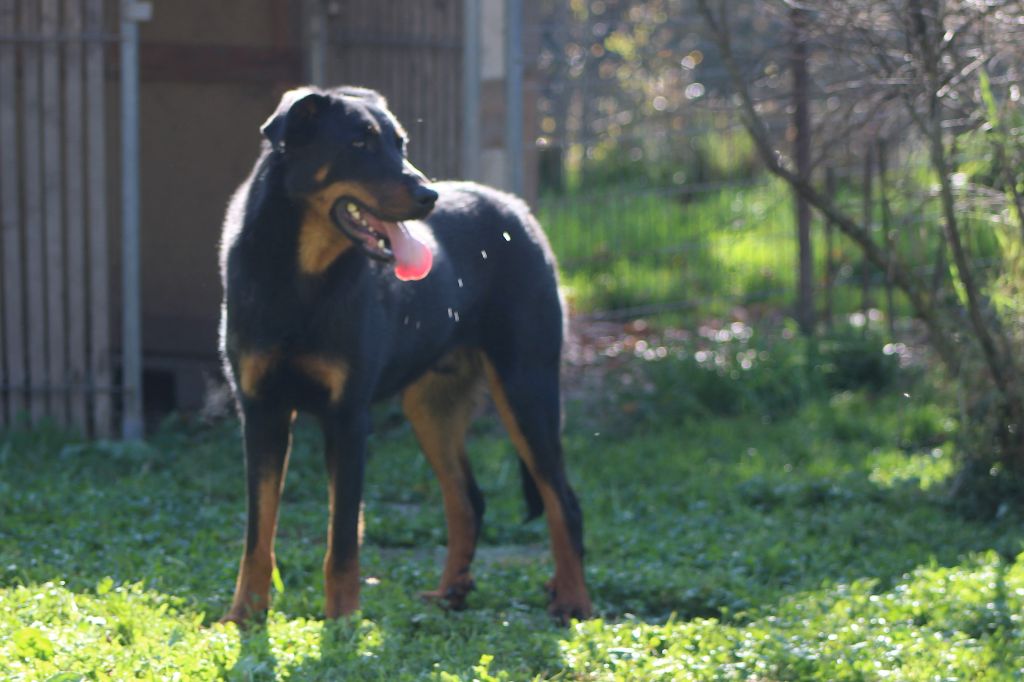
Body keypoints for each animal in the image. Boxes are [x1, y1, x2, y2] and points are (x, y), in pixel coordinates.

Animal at [222, 87, 593, 622]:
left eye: (400, 144)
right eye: (359, 143)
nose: (428, 197)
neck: (301, 277)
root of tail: (517, 208)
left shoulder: (348, 416)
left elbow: (342, 540)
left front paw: (342, 622)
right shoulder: (261, 412)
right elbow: (258, 534)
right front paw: (243, 618)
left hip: (527, 385)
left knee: (563, 499)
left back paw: (573, 600)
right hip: (432, 407)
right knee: (468, 500)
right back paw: (450, 593)